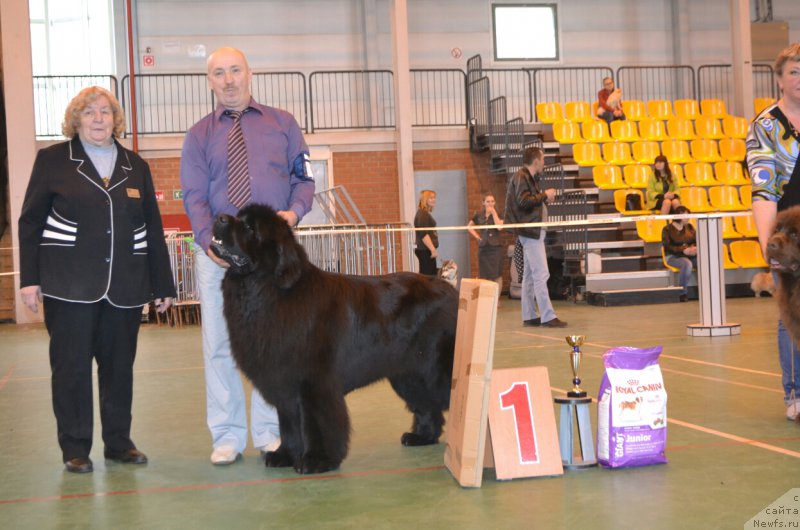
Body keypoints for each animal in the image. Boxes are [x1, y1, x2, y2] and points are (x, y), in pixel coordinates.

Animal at [212, 204, 460, 472]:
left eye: (250, 227)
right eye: (238, 216)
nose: (219, 218)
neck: (268, 290)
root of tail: (450, 289)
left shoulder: (314, 381)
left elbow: (316, 422)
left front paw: (316, 459)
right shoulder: (285, 381)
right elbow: (289, 423)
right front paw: (285, 455)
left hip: (437, 366)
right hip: (409, 371)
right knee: (425, 401)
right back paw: (421, 436)